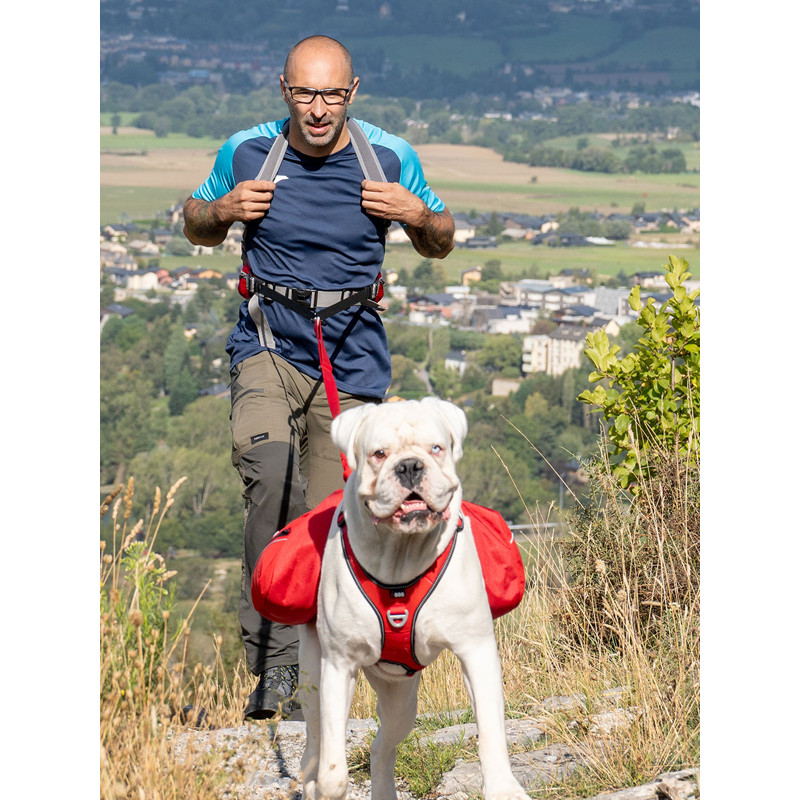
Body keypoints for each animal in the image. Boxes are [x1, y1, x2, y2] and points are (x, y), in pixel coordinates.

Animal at [296, 398, 528, 800]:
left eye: (436, 448)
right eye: (378, 454)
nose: (409, 466)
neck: (399, 559)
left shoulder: (476, 650)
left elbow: (491, 730)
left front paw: (504, 788)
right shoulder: (339, 665)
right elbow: (332, 767)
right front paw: (328, 784)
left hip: (400, 699)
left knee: (382, 745)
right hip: (315, 678)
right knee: (314, 744)